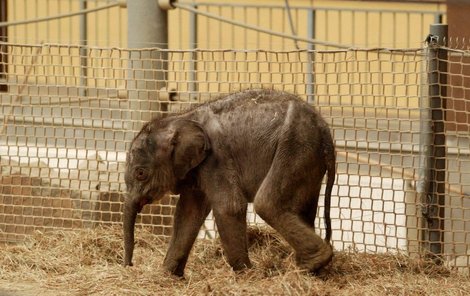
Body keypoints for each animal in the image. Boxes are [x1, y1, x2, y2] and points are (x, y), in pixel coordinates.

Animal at [123, 89, 336, 276]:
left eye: (140, 173)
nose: (130, 265)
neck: (182, 117)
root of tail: (326, 131)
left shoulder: (217, 158)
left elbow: (229, 207)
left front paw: (247, 275)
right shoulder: (196, 168)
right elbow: (187, 213)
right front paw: (167, 276)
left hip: (295, 146)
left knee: (266, 204)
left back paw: (310, 265)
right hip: (308, 158)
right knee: (303, 209)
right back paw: (309, 268)